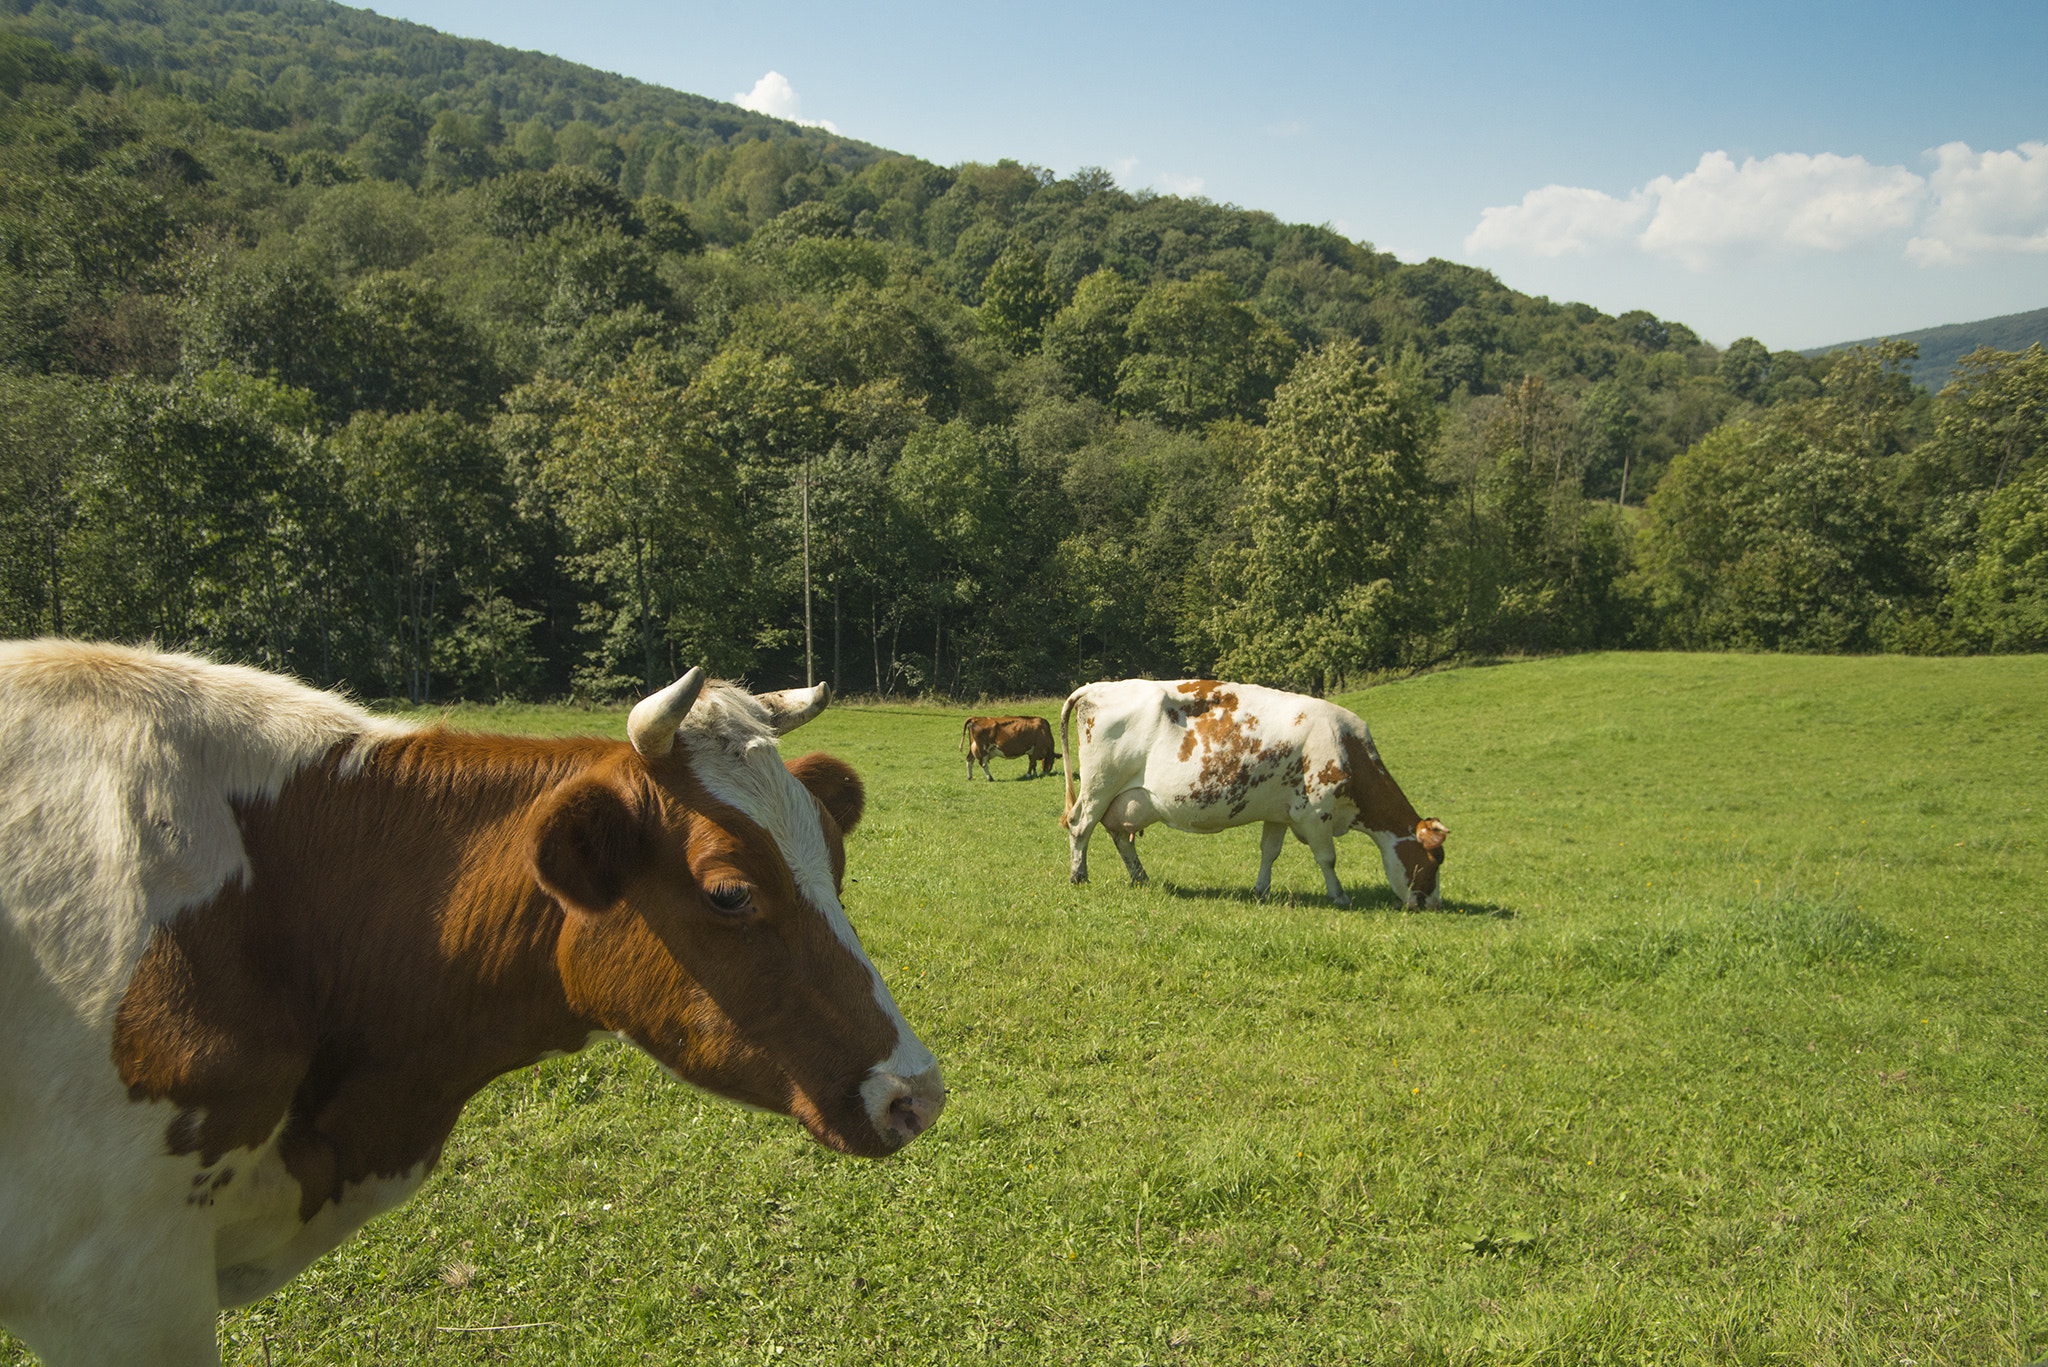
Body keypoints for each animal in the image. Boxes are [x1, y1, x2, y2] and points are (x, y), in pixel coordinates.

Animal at [1059, 678, 1448, 909]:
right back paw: (1078, 876)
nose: (1432, 904)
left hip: (1125, 799)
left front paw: (1261, 890)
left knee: (1118, 835)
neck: (1346, 746)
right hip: (1099, 786)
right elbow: (1327, 858)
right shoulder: (1316, 813)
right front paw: (1339, 896)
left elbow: (1269, 852)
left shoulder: (1280, 812)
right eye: (1434, 861)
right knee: (1080, 826)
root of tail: (1097, 686)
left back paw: (1141, 877)